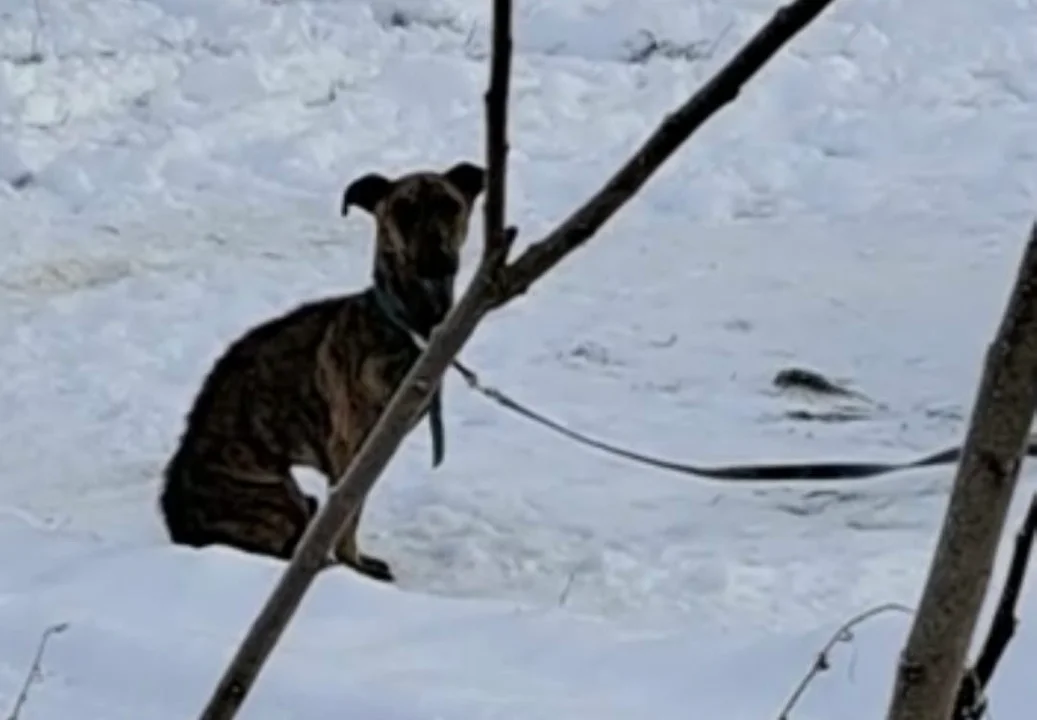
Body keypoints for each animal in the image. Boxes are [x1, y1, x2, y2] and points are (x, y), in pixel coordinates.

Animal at [157, 160, 485, 585]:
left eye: (450, 205)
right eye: (404, 209)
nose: (437, 259)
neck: (405, 323)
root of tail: (177, 521)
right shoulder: (352, 452)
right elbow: (347, 520)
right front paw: (357, 568)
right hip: (277, 499)